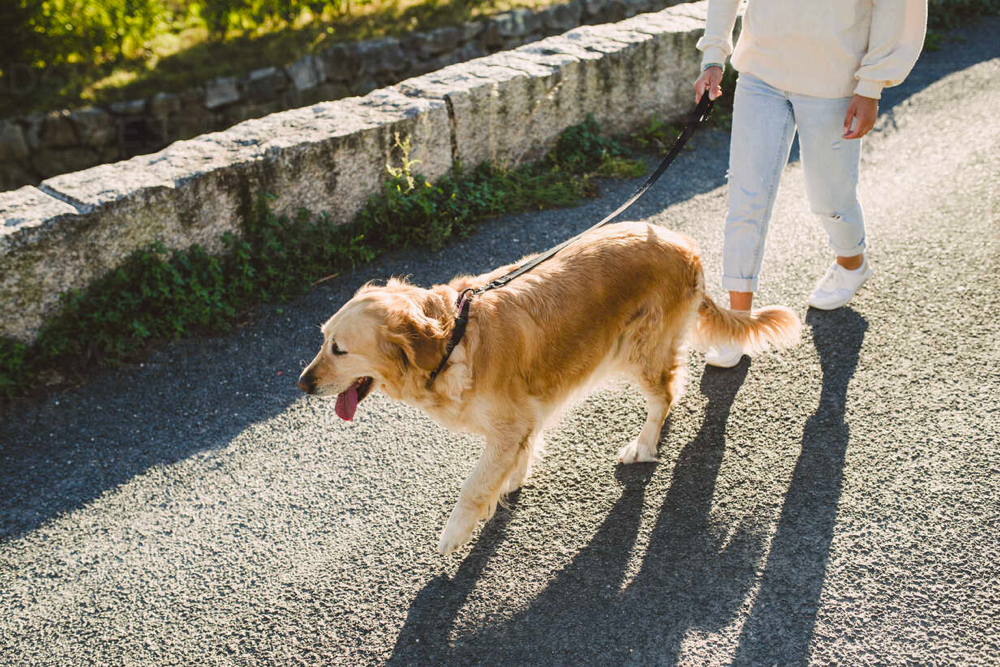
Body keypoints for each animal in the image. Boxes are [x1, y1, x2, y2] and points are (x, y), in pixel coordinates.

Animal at [294, 222, 796, 556]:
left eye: (339, 349)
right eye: (322, 339)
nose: (302, 383)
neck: (453, 337)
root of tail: (684, 245)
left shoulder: (507, 420)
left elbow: (473, 486)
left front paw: (454, 533)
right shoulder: (521, 414)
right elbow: (517, 452)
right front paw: (513, 477)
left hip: (639, 349)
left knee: (667, 393)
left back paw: (643, 444)